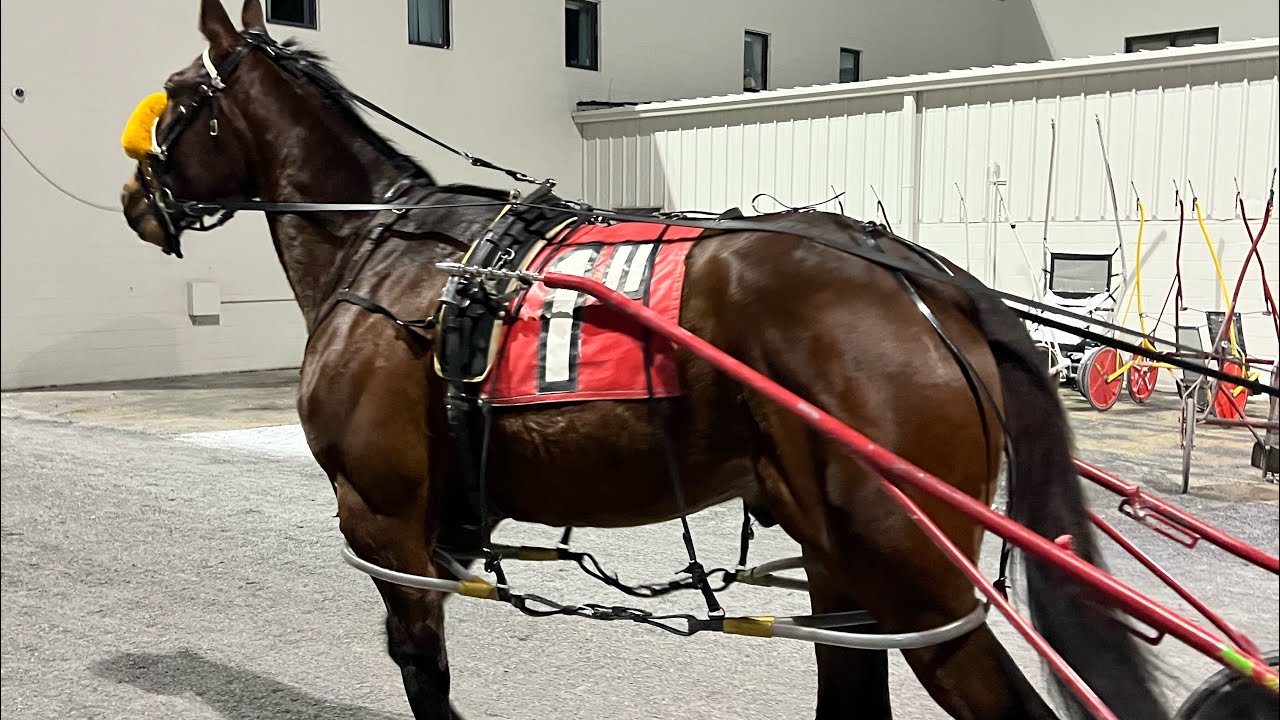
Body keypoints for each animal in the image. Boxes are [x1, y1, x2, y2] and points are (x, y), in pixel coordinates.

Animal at [117, 2, 1168, 719]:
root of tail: (927, 280)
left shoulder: (385, 522)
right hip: (845, 567)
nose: (135, 196)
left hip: (914, 574)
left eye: (177, 99)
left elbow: (423, 668)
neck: (390, 248)